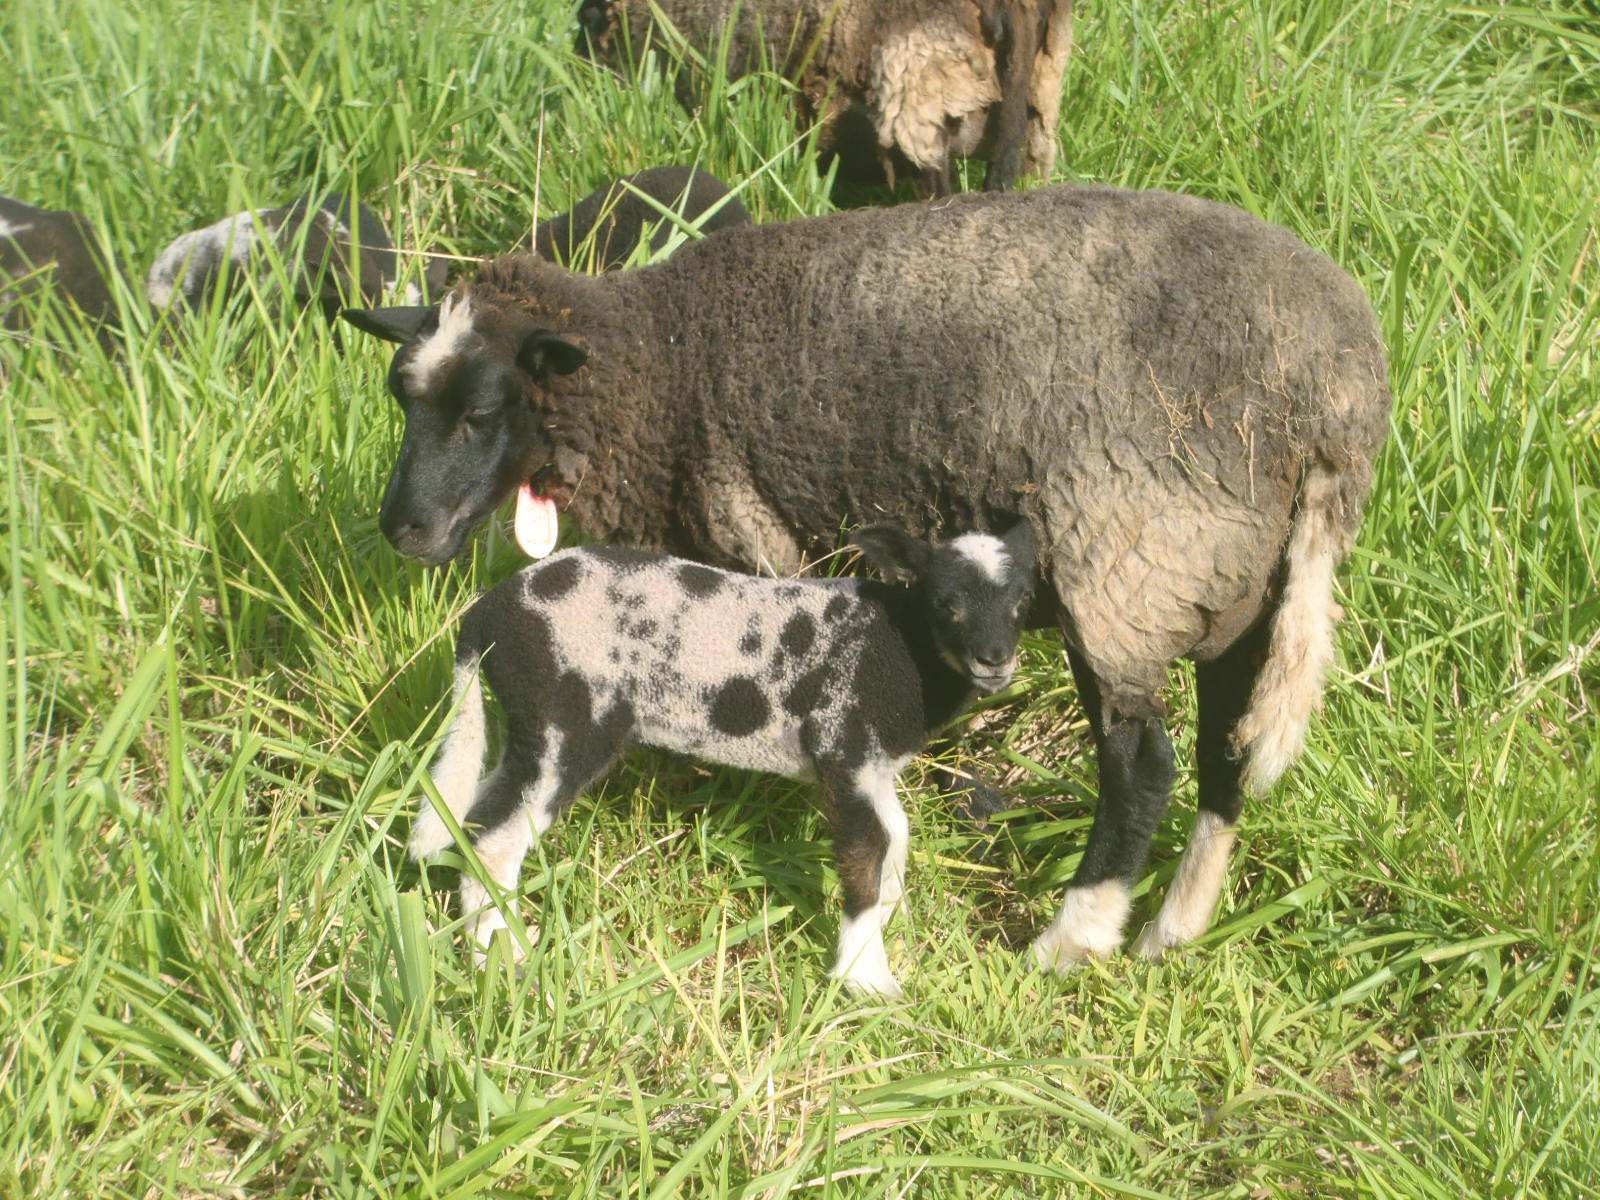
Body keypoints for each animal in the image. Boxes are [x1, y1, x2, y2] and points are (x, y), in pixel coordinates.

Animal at [419, 521, 1030, 998]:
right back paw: (502, 958)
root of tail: (482, 620)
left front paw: (895, 928)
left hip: (530, 729)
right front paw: (867, 978)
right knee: (494, 839)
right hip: (564, 722)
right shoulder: (842, 745)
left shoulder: (872, 766)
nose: (995, 660)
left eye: (1021, 602)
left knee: (471, 814)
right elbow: (868, 849)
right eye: (945, 604)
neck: (901, 646)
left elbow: (897, 837)